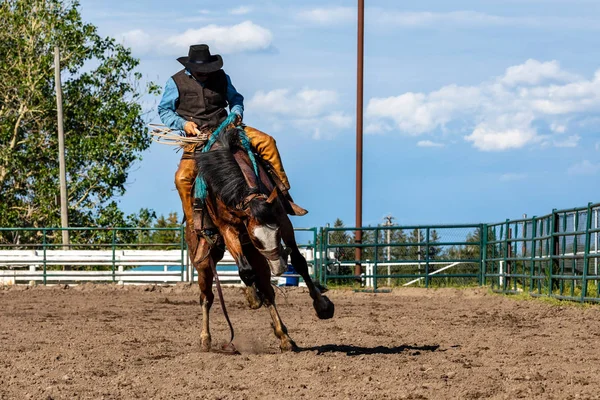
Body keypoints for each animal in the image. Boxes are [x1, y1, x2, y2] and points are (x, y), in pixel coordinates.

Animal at [184, 120, 332, 352]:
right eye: (255, 238)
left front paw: (322, 305)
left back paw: (283, 336)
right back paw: (206, 338)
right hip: (205, 261)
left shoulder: (281, 218)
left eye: (277, 232)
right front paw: (252, 297)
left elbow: (299, 262)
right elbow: (245, 271)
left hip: (255, 256)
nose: (279, 267)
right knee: (207, 296)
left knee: (267, 289)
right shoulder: (228, 229)